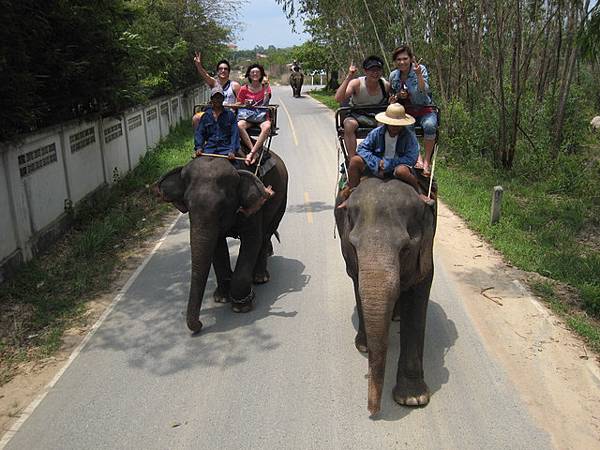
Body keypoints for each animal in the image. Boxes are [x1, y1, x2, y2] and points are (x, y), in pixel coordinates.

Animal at [154, 153, 288, 332]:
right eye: (187, 204)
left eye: (222, 206)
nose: (199, 324)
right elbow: (217, 246)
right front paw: (222, 298)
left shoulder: (253, 208)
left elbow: (252, 239)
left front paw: (241, 306)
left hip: (281, 199)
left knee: (265, 235)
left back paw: (260, 278)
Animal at [332, 176, 436, 414]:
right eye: (354, 246)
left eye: (405, 249)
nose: (372, 410)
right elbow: (358, 283)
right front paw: (365, 347)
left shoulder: (427, 248)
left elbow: (419, 293)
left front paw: (412, 399)